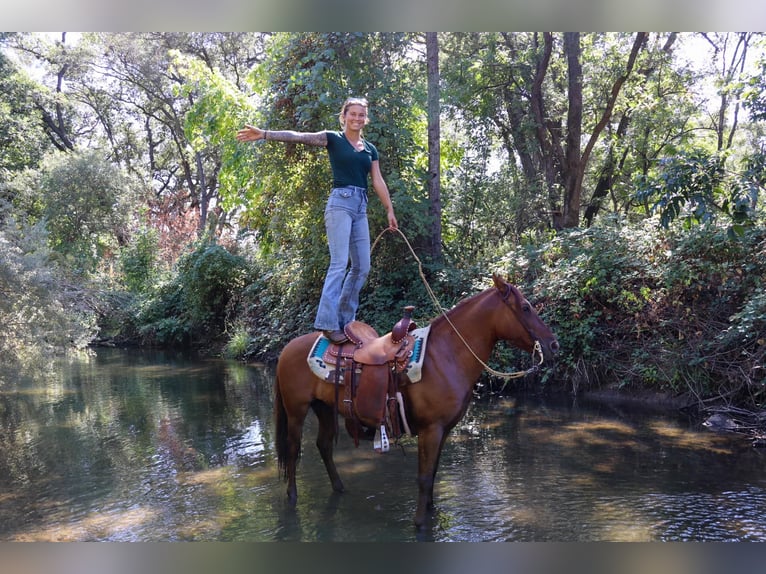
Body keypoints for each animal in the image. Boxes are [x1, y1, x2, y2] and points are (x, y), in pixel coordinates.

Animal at [272, 276, 560, 532]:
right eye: (525, 307)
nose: (554, 344)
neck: (446, 355)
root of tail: (286, 348)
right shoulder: (431, 430)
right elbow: (423, 477)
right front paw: (420, 523)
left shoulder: (444, 430)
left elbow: (432, 475)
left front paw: (431, 512)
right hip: (296, 411)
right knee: (293, 449)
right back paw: (292, 496)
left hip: (324, 408)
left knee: (323, 445)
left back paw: (339, 487)